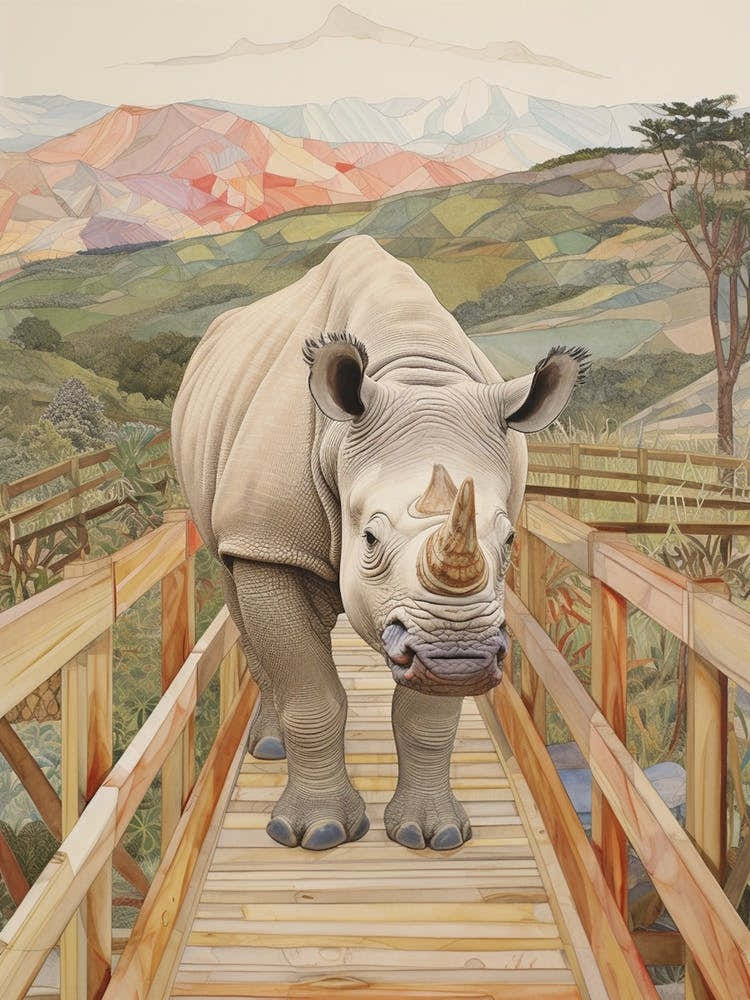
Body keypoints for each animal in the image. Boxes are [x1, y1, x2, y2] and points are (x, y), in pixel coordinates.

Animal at [172, 235, 588, 852]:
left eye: (511, 540)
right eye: (368, 538)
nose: (459, 658)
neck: (417, 374)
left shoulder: (448, 616)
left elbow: (427, 717)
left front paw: (433, 834)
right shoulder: (266, 536)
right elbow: (310, 690)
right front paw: (315, 833)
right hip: (231, 511)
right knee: (237, 590)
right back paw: (268, 749)